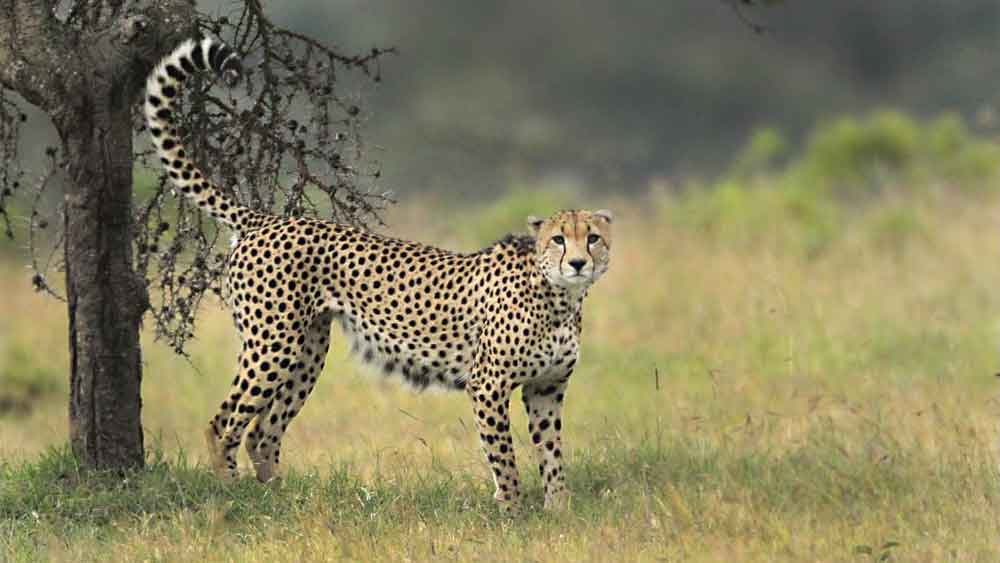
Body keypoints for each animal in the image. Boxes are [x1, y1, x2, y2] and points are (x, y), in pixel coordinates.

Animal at [140, 36, 608, 512]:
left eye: (592, 238)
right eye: (558, 239)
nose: (577, 263)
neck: (559, 299)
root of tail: (266, 219)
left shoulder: (547, 388)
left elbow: (551, 454)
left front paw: (559, 510)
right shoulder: (488, 385)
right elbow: (504, 456)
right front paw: (512, 511)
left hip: (307, 351)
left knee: (262, 432)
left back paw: (280, 499)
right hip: (272, 344)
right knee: (224, 423)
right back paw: (231, 493)